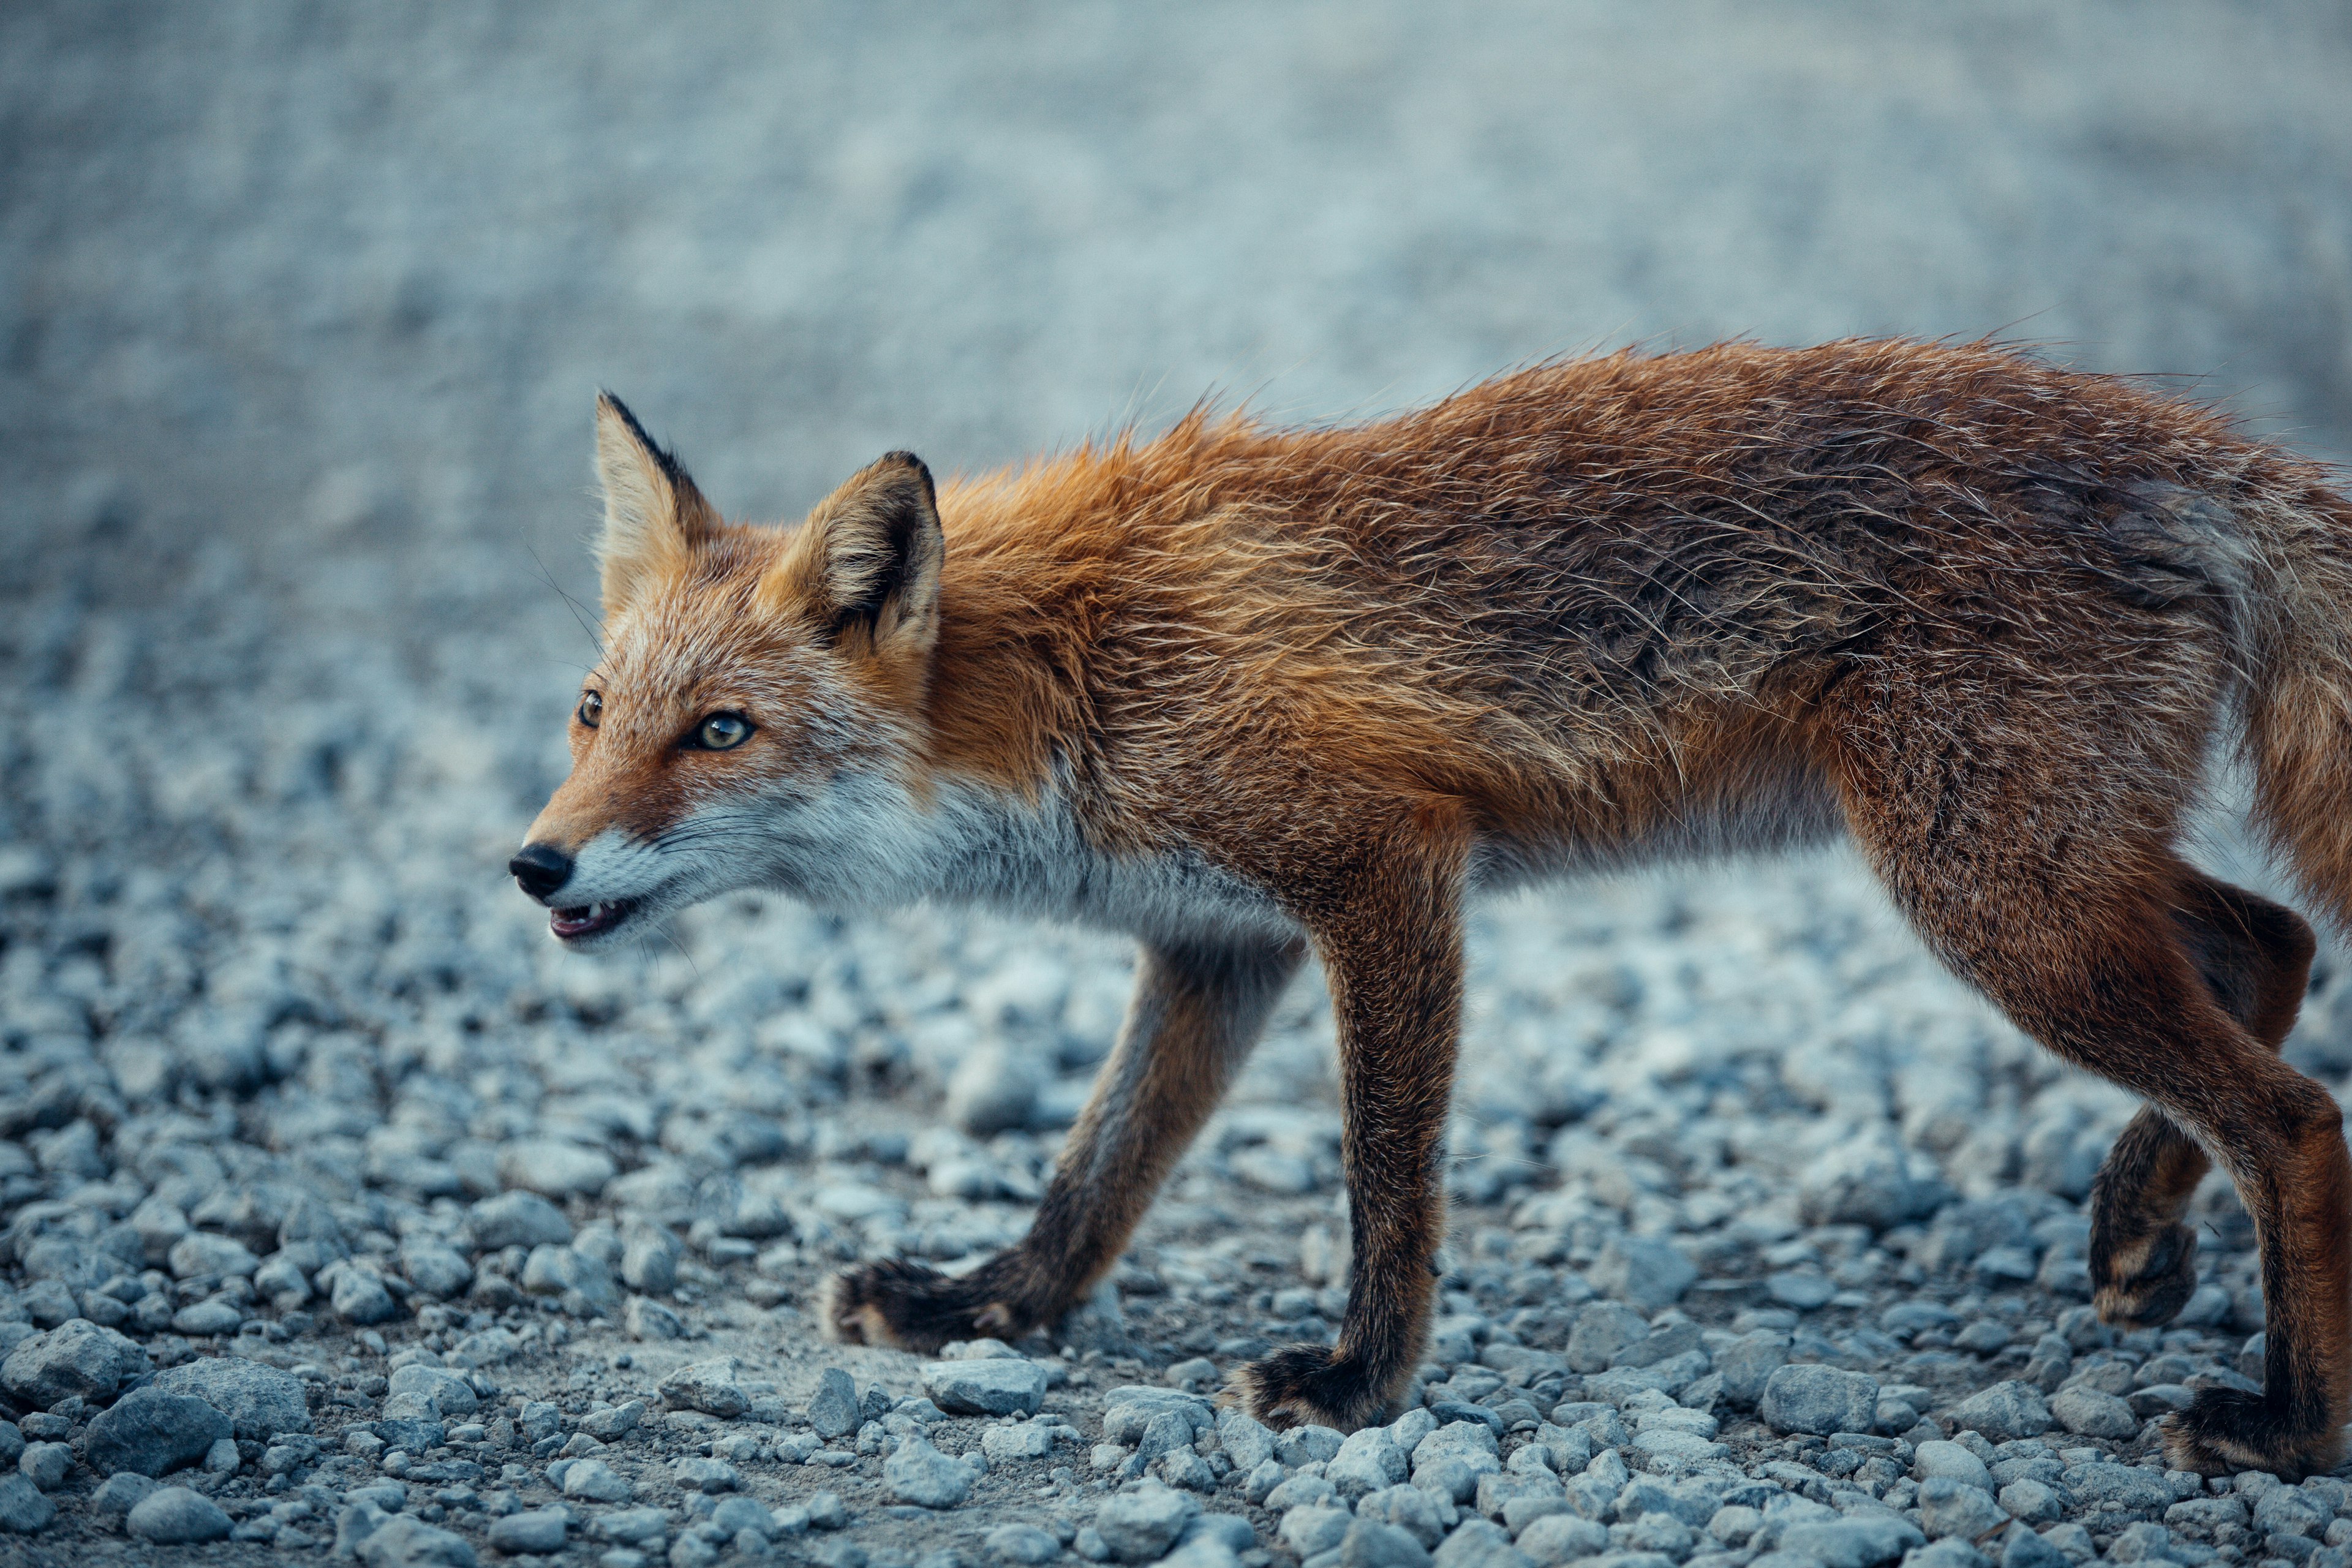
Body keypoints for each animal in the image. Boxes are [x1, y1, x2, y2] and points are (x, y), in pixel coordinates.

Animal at [510, 338, 2352, 1476]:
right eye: (592, 715)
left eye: (719, 733)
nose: (534, 865)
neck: (1070, 676)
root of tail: (2192, 449)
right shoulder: (1218, 940)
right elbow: (1097, 1171)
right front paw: (990, 1305)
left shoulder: (1380, 864)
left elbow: (1386, 1181)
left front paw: (1358, 1384)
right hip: (2040, 873)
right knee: (2274, 942)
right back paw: (2139, 1228)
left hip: (1988, 896)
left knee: (2297, 1112)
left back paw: (2290, 1424)